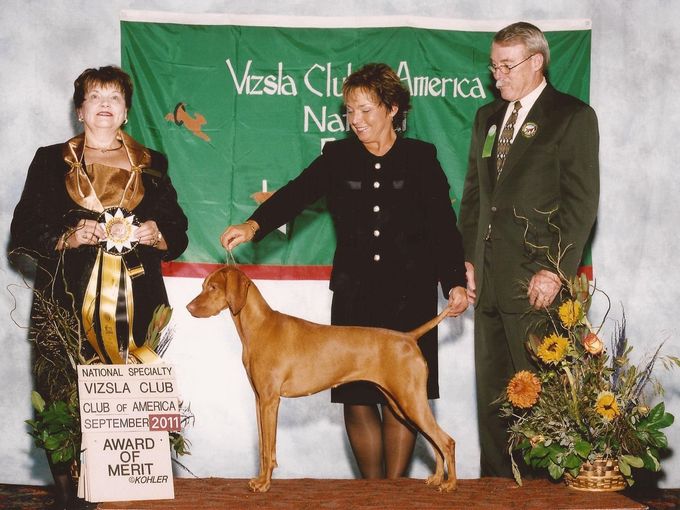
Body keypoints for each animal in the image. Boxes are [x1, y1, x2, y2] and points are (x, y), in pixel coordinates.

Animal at [185, 264, 456, 492]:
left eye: (213, 287)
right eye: (203, 285)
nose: (189, 308)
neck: (260, 327)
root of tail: (409, 337)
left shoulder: (270, 401)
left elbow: (268, 447)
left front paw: (264, 484)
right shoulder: (259, 399)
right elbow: (263, 445)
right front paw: (259, 479)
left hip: (410, 400)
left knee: (446, 441)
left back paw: (450, 484)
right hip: (401, 404)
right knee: (434, 441)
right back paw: (435, 478)